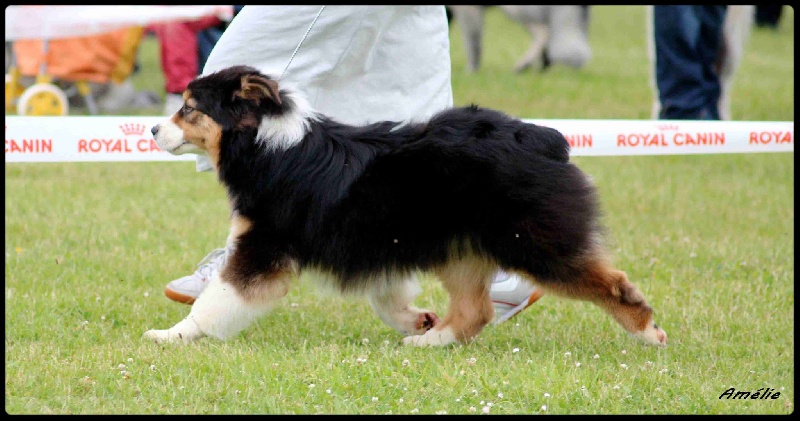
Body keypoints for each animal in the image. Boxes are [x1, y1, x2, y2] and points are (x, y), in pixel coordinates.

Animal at [145, 65, 668, 346]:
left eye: (188, 108)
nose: (150, 129)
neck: (263, 143)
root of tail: (546, 138)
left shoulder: (263, 246)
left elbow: (219, 301)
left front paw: (171, 335)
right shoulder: (376, 241)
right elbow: (386, 297)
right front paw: (417, 319)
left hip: (531, 240)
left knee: (611, 282)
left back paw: (648, 332)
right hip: (461, 248)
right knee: (475, 310)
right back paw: (431, 339)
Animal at [446, 5, 592, 73]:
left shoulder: (468, 10)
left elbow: (473, 46)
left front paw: (471, 71)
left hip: (515, 10)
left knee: (544, 32)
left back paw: (524, 65)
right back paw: (541, 68)